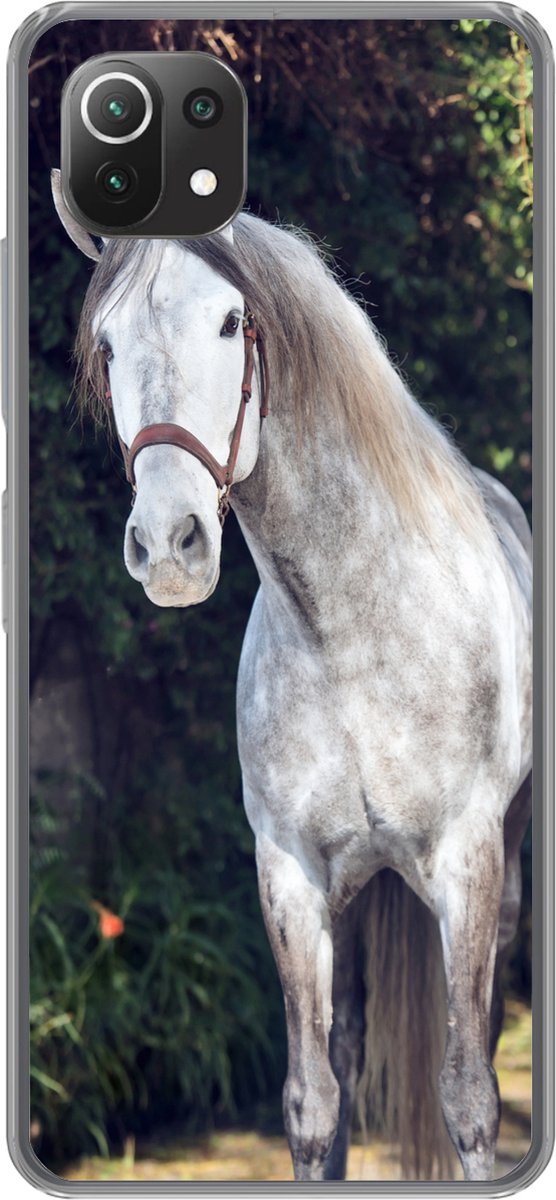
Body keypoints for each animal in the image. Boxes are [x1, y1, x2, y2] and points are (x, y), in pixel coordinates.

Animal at [52, 170, 533, 1182]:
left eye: (232, 321)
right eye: (106, 343)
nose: (170, 546)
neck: (352, 630)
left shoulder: (468, 866)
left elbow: (469, 1099)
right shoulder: (290, 875)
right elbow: (313, 1103)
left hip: (507, 864)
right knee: (345, 1049)